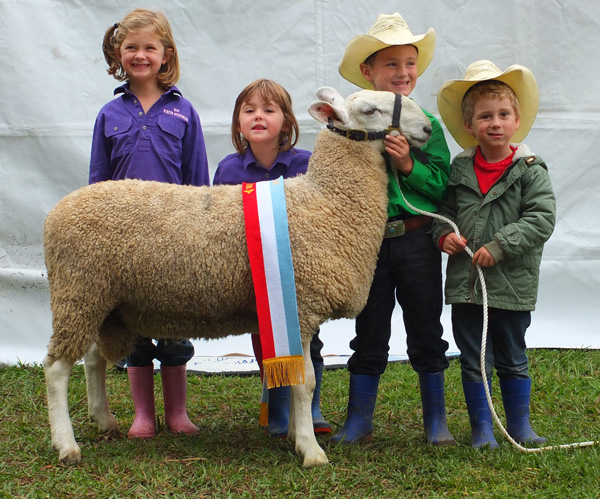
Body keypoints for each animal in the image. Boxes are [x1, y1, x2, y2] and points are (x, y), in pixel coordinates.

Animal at [42, 87, 432, 468]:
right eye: (370, 110)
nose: (428, 128)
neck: (325, 199)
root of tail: (56, 212)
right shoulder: (301, 306)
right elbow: (303, 381)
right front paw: (311, 451)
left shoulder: (294, 312)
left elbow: (292, 376)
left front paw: (294, 434)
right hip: (78, 289)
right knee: (58, 368)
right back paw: (67, 445)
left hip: (101, 299)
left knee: (93, 358)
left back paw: (103, 419)